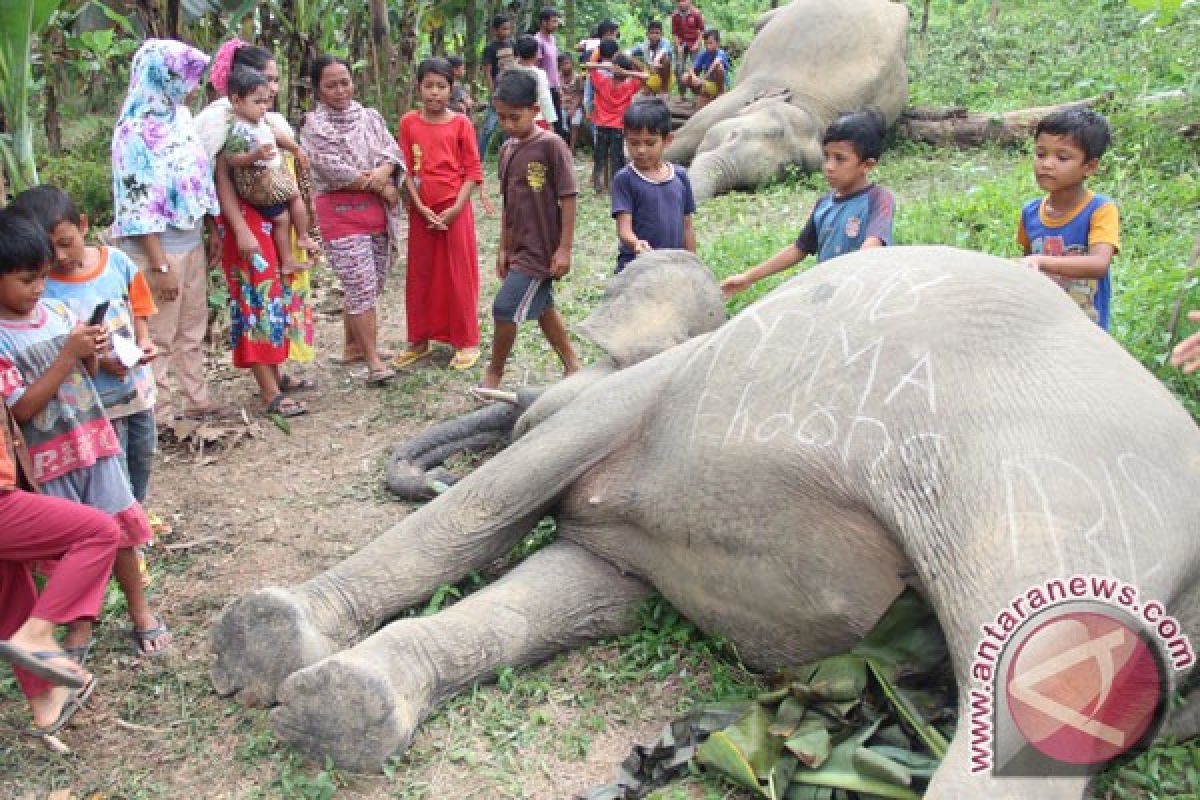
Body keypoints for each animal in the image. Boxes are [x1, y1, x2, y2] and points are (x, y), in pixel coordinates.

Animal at [213, 247, 1200, 796]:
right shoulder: (617, 546)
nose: (423, 471)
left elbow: (496, 498)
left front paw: (265, 641)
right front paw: (341, 710)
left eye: (528, 401)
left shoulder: (627, 403)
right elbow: (570, 595)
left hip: (1036, 472)